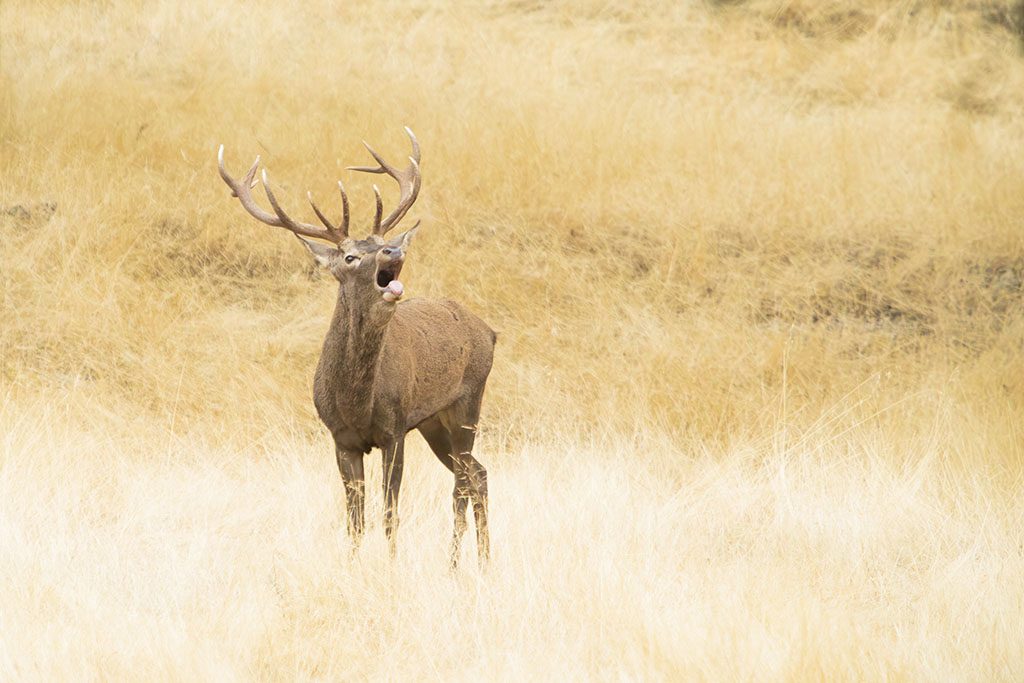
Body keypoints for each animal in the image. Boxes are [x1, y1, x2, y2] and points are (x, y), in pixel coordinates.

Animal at [217, 128, 494, 567]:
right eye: (349, 256)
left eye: (381, 242)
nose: (393, 250)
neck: (356, 402)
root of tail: (490, 332)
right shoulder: (340, 438)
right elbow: (354, 519)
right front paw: (353, 566)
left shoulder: (394, 429)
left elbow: (389, 514)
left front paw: (390, 566)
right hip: (433, 422)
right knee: (477, 474)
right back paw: (480, 562)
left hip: (468, 401)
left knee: (464, 482)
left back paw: (459, 564)